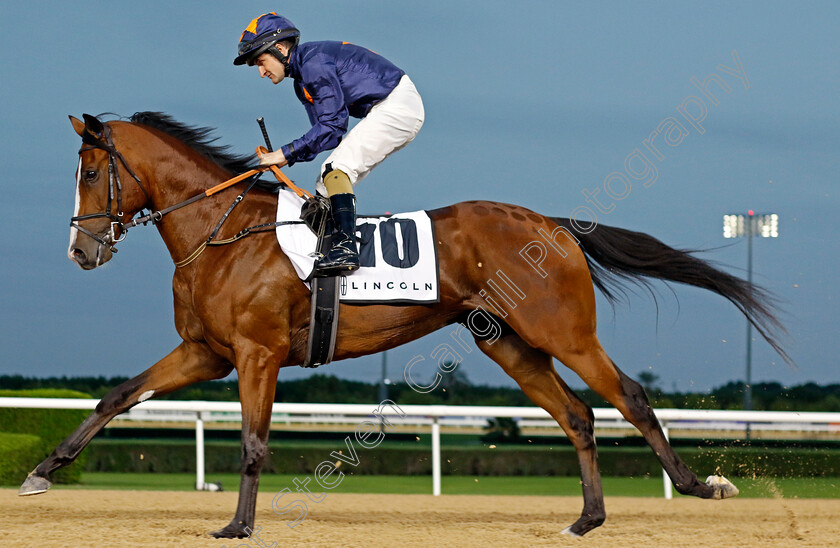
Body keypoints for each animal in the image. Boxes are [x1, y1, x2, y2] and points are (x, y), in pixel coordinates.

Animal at [19, 112, 788, 540]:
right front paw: (41, 472)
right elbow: (118, 395)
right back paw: (587, 519)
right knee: (577, 415)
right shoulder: (206, 352)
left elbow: (253, 443)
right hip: (509, 343)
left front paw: (238, 525)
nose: (81, 251)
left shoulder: (255, 353)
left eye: (88, 172)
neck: (222, 232)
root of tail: (553, 224)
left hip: (563, 332)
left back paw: (701, 487)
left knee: (628, 396)